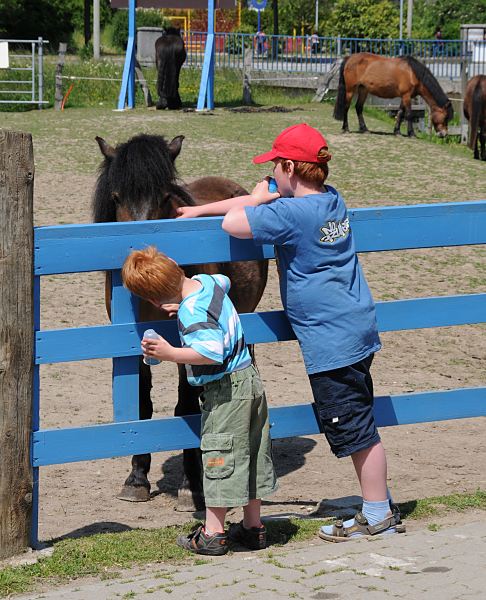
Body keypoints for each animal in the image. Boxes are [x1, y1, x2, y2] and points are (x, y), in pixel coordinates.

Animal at [93, 132, 268, 510]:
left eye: (163, 197)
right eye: (116, 197)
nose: (141, 256)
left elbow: (185, 405)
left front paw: (191, 487)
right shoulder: (133, 346)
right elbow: (142, 405)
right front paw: (136, 480)